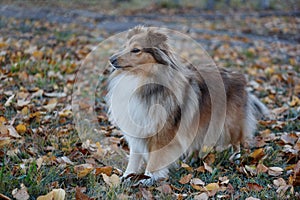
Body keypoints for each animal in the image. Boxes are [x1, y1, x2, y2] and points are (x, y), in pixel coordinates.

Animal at [106, 26, 270, 184]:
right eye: (125, 47)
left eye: (136, 50)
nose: (111, 59)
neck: (141, 79)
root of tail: (239, 76)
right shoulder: (137, 130)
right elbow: (134, 158)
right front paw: (126, 177)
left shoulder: (162, 133)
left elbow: (155, 159)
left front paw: (147, 178)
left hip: (230, 123)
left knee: (237, 141)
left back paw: (236, 158)